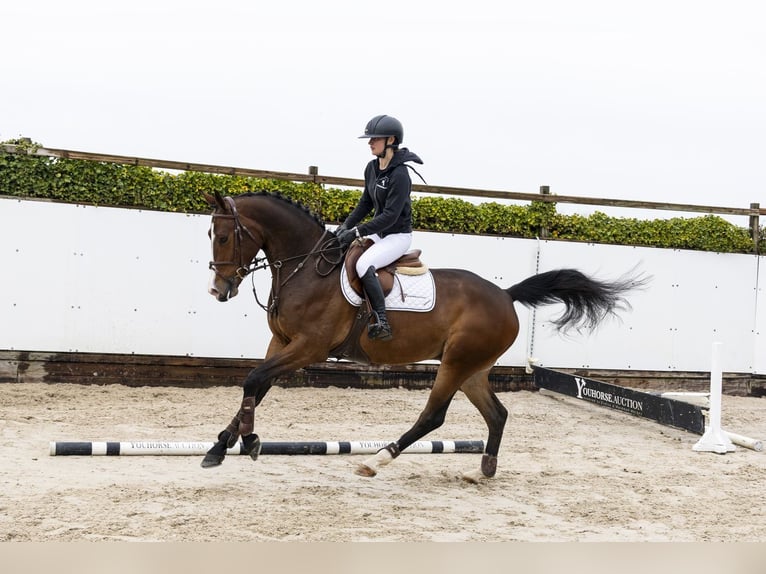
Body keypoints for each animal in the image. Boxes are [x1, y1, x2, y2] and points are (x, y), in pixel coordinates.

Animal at [203, 190, 647, 482]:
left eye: (223, 237)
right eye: (211, 236)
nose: (219, 291)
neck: (307, 268)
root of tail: (506, 295)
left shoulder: (308, 347)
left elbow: (254, 380)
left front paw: (250, 440)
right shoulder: (281, 343)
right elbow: (255, 386)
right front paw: (220, 447)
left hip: (456, 363)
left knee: (434, 416)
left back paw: (377, 459)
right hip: (472, 369)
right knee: (497, 414)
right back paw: (483, 470)